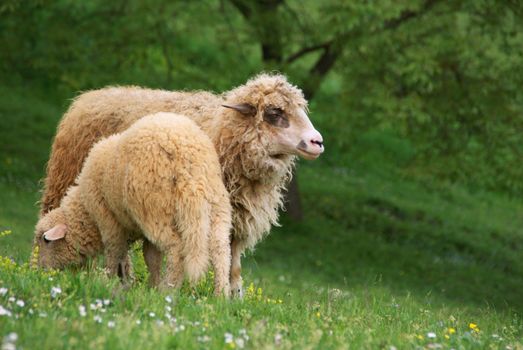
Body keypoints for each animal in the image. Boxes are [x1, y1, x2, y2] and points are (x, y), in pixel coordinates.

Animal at [34, 113, 231, 296]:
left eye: (45, 240)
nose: (38, 273)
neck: (85, 212)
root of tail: (185, 155)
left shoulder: (108, 220)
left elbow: (115, 254)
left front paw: (110, 282)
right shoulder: (142, 233)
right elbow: (150, 257)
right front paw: (149, 286)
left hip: (157, 211)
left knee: (176, 250)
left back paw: (168, 291)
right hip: (216, 205)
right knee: (220, 248)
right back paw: (221, 295)